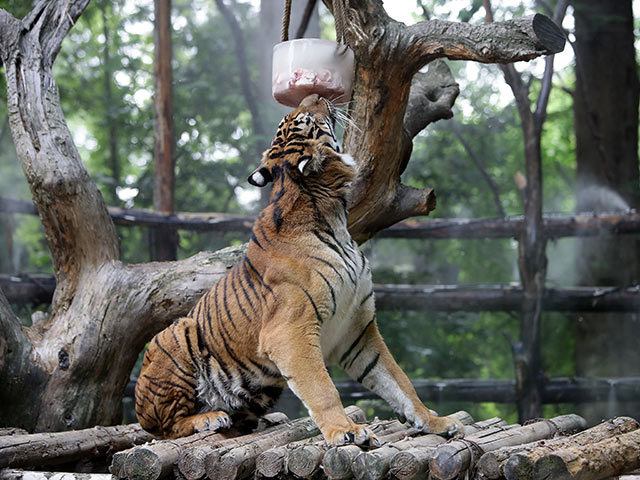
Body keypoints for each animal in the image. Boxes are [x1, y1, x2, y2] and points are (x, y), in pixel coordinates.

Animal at [135, 93, 462, 442]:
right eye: (306, 119)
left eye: (296, 119)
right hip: (178, 335)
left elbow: (399, 381)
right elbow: (322, 388)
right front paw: (345, 431)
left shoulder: (357, 329)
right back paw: (209, 418)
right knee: (164, 427)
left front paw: (436, 422)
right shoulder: (289, 332)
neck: (335, 215)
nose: (315, 95)